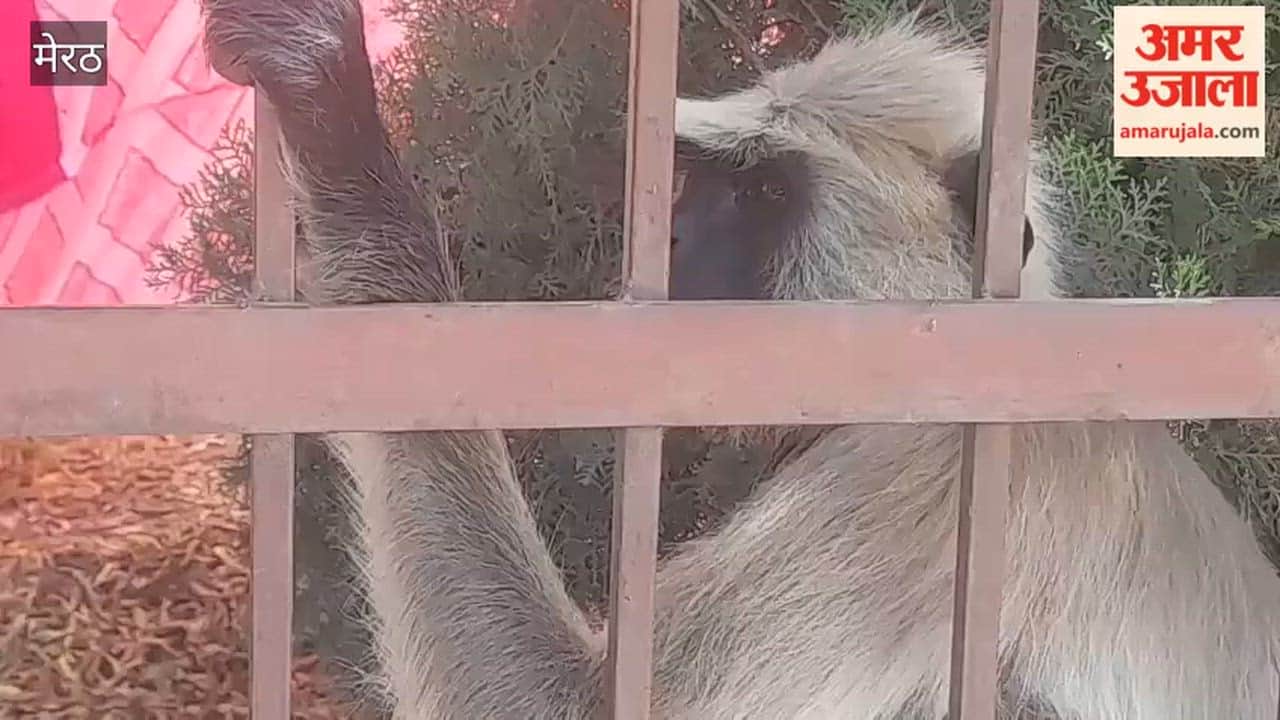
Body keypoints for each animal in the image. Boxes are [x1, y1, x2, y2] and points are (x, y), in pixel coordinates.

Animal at [202, 1, 1280, 718]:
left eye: (762, 197)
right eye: (693, 185)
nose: (674, 242)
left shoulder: (916, 480)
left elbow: (560, 703)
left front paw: (339, 134)